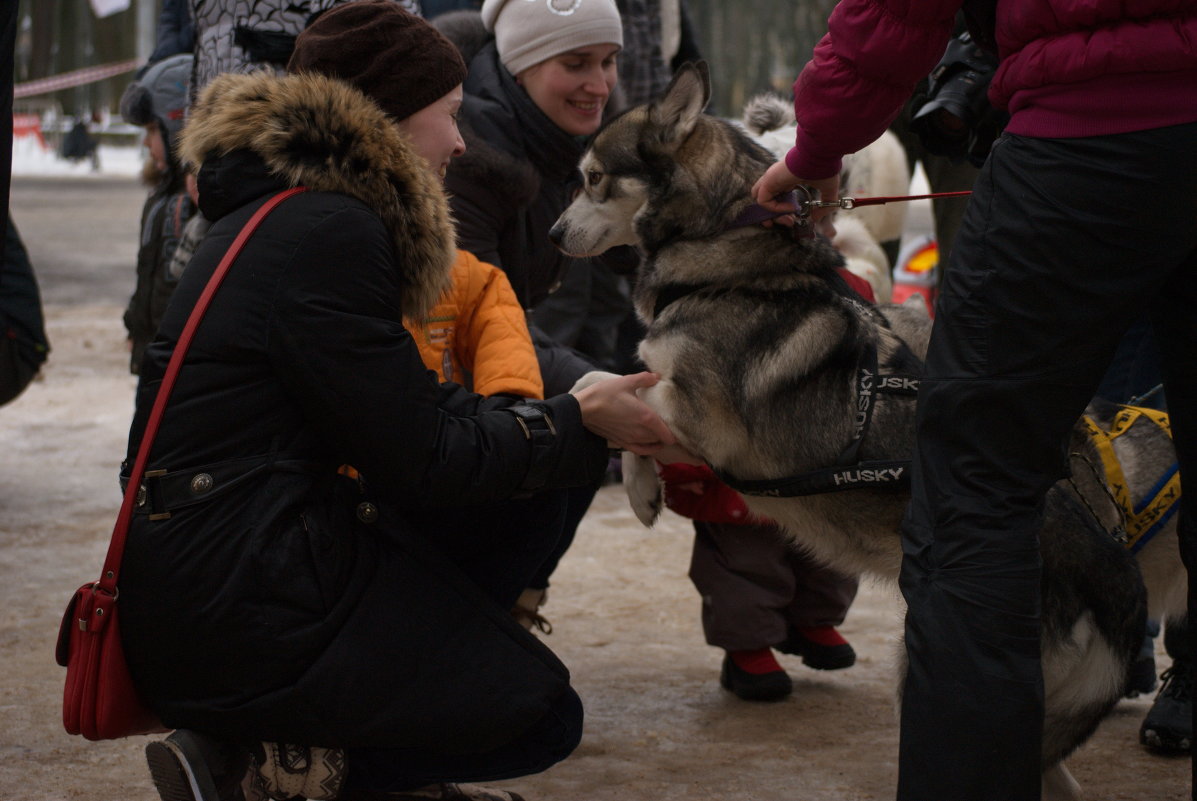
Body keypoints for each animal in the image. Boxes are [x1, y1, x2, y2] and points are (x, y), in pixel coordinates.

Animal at [553, 64, 1187, 799]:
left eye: (594, 177)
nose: (552, 233)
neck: (724, 260)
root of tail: (1114, 571)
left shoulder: (699, 416)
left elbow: (602, 383)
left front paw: (637, 485)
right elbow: (606, 380)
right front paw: (645, 484)